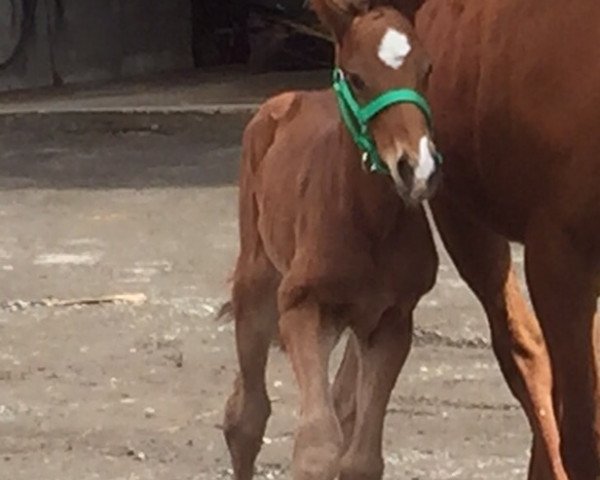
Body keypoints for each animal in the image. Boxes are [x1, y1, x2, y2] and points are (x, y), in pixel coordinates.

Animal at [223, 1, 442, 478]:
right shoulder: (301, 307)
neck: (366, 222)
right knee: (246, 416)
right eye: (357, 78)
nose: (417, 169)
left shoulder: (392, 320)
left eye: (426, 70)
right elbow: (315, 449)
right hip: (257, 283)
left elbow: (361, 458)